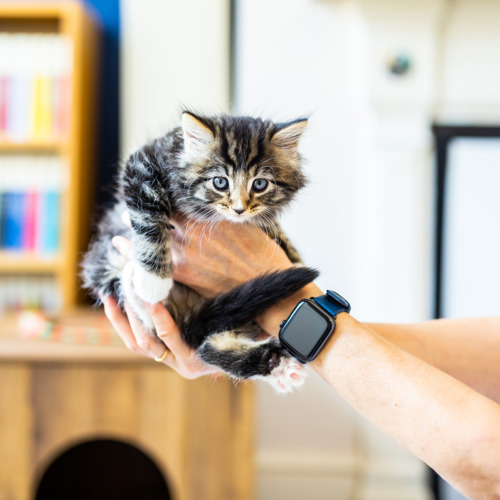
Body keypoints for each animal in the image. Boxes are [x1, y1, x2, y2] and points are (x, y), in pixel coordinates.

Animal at [80, 111, 318, 392]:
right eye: (220, 182)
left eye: (260, 184)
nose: (239, 209)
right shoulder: (142, 165)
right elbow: (148, 216)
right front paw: (153, 279)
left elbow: (277, 232)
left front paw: (293, 256)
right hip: (106, 263)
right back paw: (137, 285)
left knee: (207, 346)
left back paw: (278, 364)